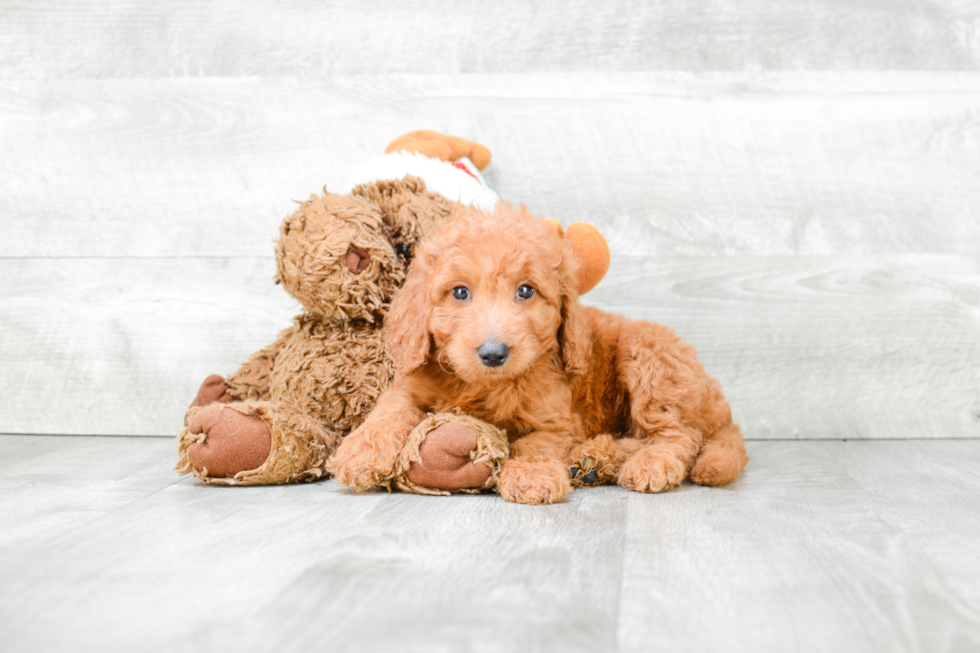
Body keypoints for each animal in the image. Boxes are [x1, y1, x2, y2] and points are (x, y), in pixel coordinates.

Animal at [332, 204, 752, 504]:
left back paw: (645, 463)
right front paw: (361, 452)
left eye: (526, 291)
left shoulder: (556, 419)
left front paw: (531, 475)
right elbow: (391, 407)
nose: (493, 353)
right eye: (460, 292)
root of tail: (719, 403)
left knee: (679, 434)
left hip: (650, 357)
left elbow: (536, 443)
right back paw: (593, 461)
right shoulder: (414, 379)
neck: (487, 386)